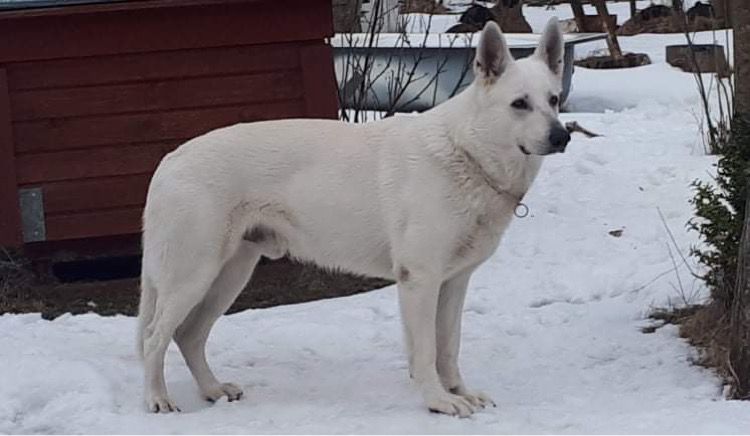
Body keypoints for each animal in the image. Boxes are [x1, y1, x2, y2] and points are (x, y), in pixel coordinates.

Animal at [137, 18, 568, 418]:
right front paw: (438, 401)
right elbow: (427, 351)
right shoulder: (420, 280)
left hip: (230, 274)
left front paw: (459, 393)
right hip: (193, 275)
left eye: (554, 100)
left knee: (189, 336)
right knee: (155, 338)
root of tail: (170, 159)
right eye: (519, 104)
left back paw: (212, 389)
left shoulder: (454, 283)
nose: (562, 137)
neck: (468, 152)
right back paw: (158, 400)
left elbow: (448, 347)